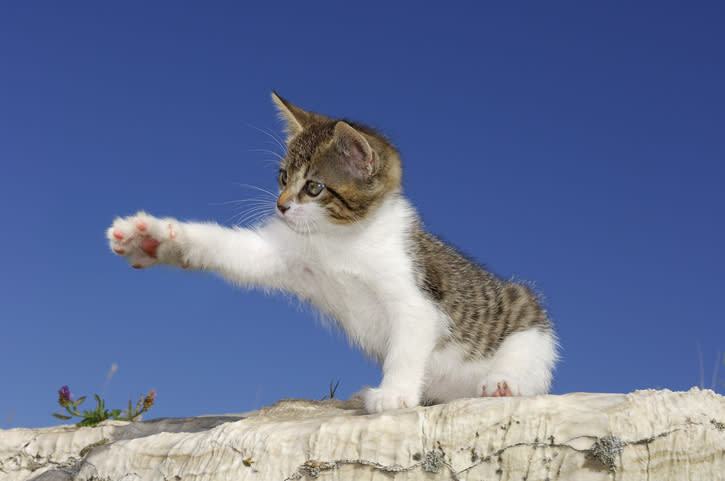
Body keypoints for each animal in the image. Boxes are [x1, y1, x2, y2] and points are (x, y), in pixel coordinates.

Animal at [107, 93, 556, 412]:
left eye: (314, 187)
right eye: (282, 177)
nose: (281, 206)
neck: (342, 240)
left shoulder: (416, 297)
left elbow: (408, 344)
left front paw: (393, 394)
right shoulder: (285, 256)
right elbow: (231, 249)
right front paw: (155, 239)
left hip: (526, 317)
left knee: (527, 362)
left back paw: (503, 384)